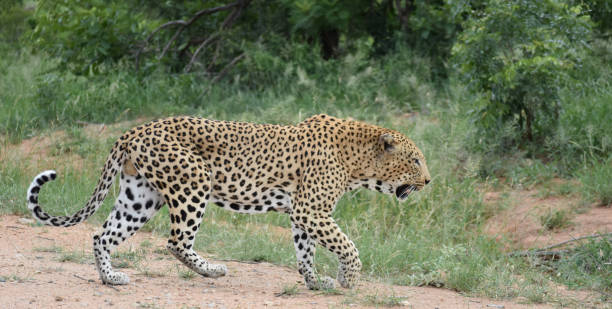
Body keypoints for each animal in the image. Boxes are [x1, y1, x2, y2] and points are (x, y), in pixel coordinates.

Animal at [27, 113, 430, 288]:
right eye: (415, 160)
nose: (428, 180)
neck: (360, 162)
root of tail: (135, 129)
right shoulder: (311, 210)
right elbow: (348, 245)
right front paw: (349, 278)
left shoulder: (303, 214)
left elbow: (306, 251)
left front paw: (316, 282)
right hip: (193, 182)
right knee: (176, 241)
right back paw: (213, 270)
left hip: (140, 195)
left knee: (102, 235)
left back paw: (111, 278)